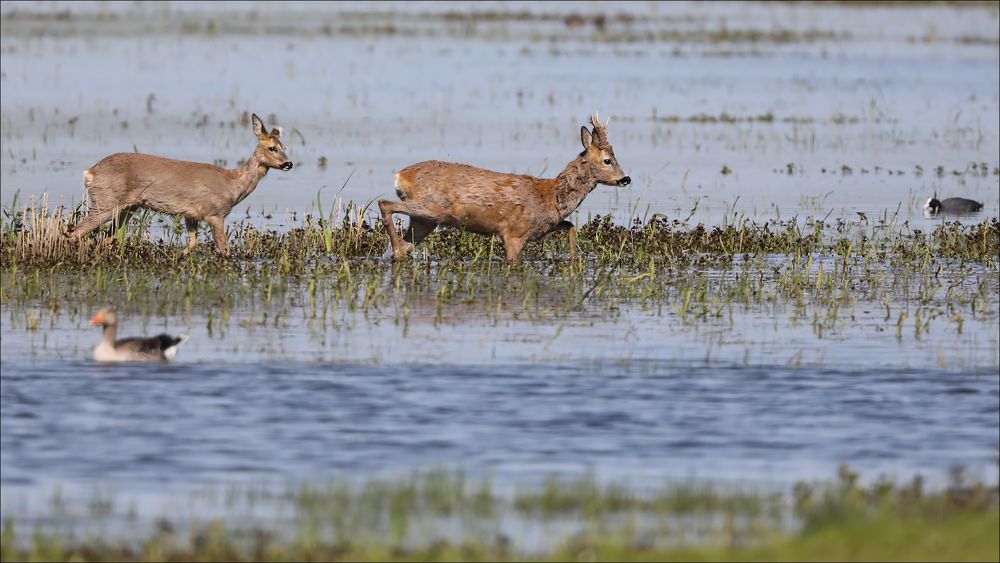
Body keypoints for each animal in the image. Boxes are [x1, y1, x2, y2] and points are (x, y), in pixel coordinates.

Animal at [67, 113, 290, 256]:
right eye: (272, 148)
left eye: (284, 147)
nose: (289, 163)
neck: (232, 185)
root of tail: (90, 172)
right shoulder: (215, 213)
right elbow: (225, 250)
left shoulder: (190, 215)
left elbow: (192, 243)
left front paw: (177, 257)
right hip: (105, 201)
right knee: (75, 231)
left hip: (127, 207)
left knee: (107, 236)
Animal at [378, 116, 628, 264]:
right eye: (607, 160)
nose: (626, 179)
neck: (550, 197)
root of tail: (401, 176)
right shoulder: (514, 233)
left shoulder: (543, 227)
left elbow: (570, 226)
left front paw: (576, 260)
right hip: (432, 208)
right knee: (385, 204)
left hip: (426, 220)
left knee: (403, 242)